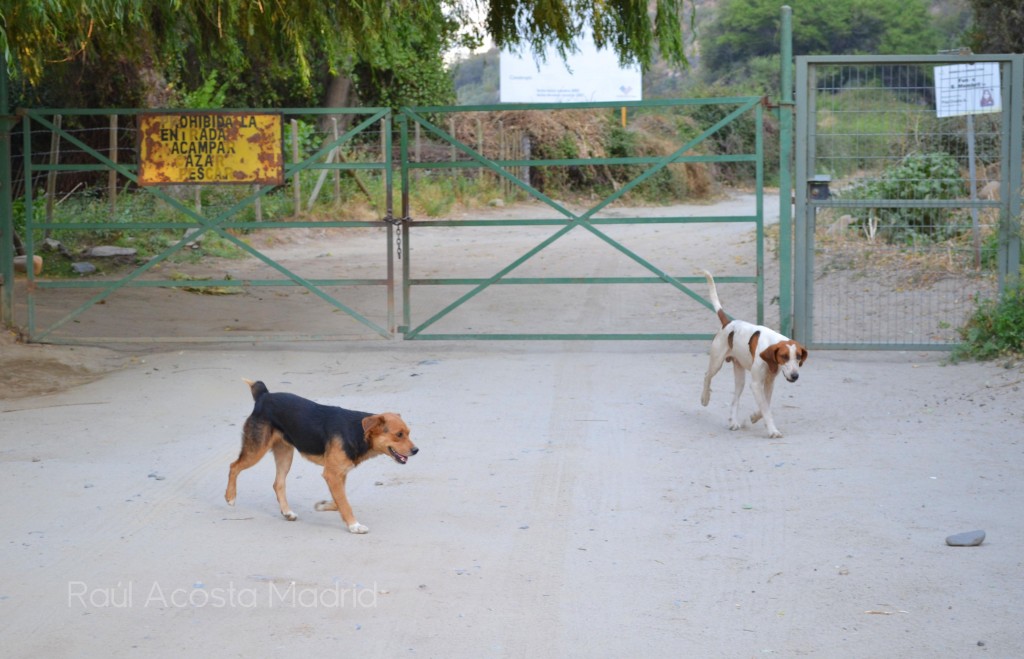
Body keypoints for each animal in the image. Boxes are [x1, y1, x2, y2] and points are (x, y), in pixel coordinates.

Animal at [224, 378, 415, 532]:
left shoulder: (339, 474)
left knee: (278, 484)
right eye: (399, 435)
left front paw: (323, 506)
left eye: (408, 433)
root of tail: (263, 395)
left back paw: (287, 512)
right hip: (256, 450)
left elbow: (339, 502)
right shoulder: (332, 474)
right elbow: (344, 504)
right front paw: (354, 526)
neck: (357, 432)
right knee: (234, 466)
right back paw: (230, 497)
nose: (416, 450)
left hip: (285, 454)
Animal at [704, 268, 806, 437]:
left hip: (740, 378)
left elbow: (765, 404)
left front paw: (753, 417)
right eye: (784, 357)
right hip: (716, 363)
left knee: (735, 399)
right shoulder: (756, 384)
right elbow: (765, 407)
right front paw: (772, 430)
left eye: (798, 357)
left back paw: (733, 421)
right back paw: (704, 398)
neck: (771, 342)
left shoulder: (769, 382)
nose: (795, 376)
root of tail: (728, 323)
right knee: (707, 376)